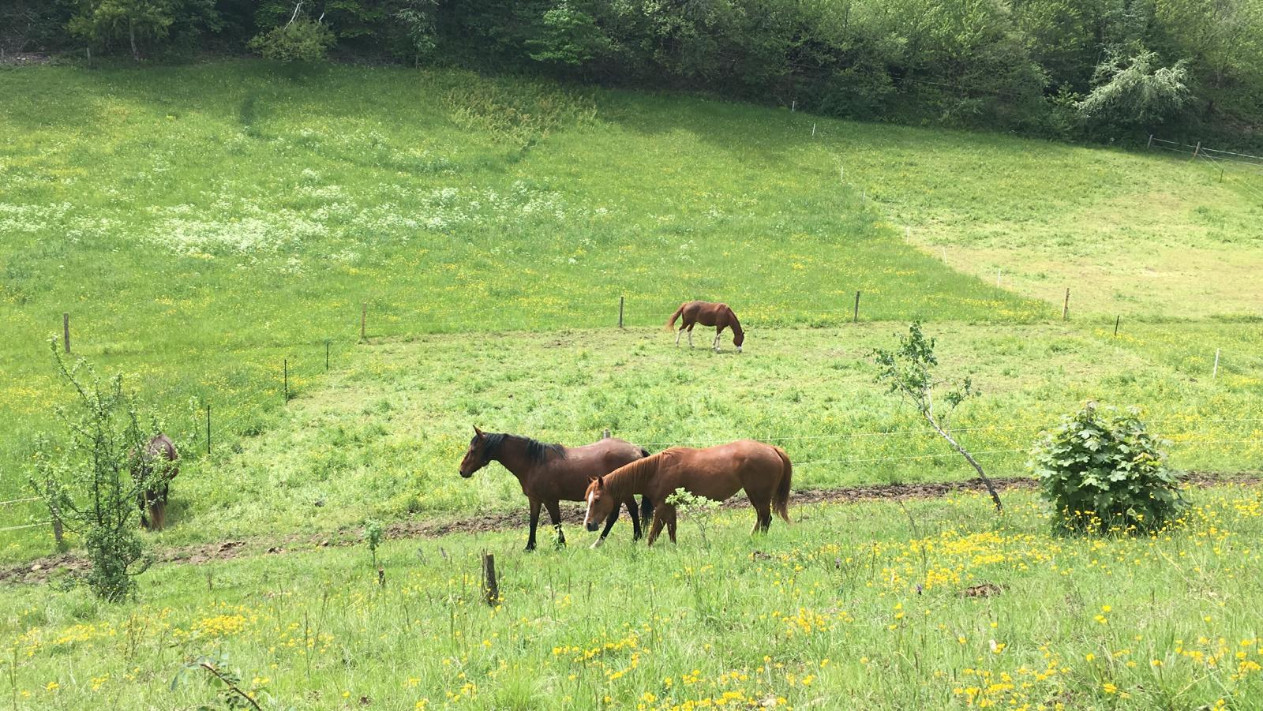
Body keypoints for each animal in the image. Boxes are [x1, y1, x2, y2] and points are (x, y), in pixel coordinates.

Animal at [457, 429, 651, 550]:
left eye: (473, 450)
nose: (461, 471)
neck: (533, 462)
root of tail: (636, 448)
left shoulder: (550, 500)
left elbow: (556, 522)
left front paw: (561, 545)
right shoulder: (534, 499)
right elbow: (533, 522)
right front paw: (530, 547)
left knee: (628, 512)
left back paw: (631, 538)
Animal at [580, 439, 788, 545]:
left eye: (597, 499)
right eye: (586, 499)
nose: (588, 524)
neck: (656, 470)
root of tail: (772, 448)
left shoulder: (662, 506)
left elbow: (653, 533)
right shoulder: (670, 507)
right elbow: (671, 530)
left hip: (759, 496)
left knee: (765, 519)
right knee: (762, 519)